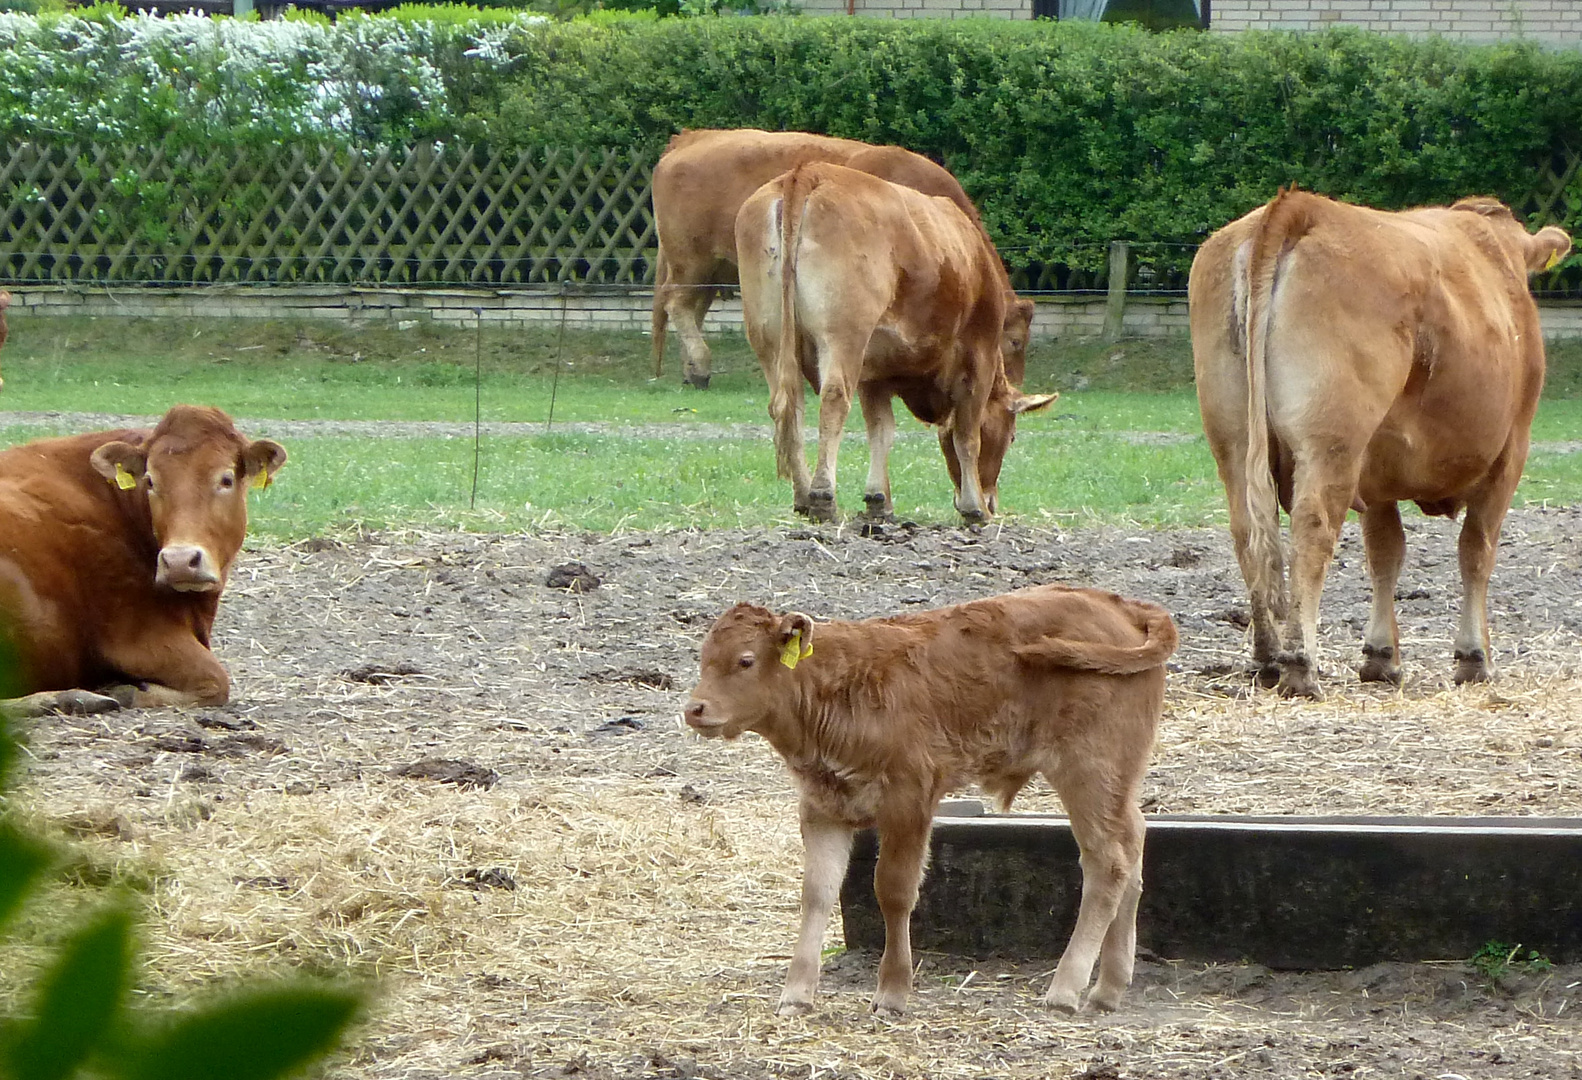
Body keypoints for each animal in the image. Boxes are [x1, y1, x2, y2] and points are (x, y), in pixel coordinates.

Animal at [0, 404, 287, 717]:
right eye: (150, 481)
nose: (179, 560)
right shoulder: (138, 635)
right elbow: (216, 681)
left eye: (226, 480)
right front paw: (124, 691)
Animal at [651, 128, 1037, 388]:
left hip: (710, 268)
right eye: (1015, 342)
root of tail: (691, 137)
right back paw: (700, 367)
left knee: (692, 309)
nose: (1015, 386)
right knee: (678, 304)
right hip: (692, 259)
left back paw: (690, 370)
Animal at [680, 581, 1177, 1012]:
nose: (695, 709)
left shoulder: (908, 800)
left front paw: (893, 991)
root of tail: (1118, 604)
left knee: (1107, 863)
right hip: (1117, 781)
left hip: (1088, 772)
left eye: (745, 661)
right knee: (1133, 845)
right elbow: (817, 893)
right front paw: (797, 995)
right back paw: (1108, 989)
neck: (838, 685)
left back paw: (1066, 988)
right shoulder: (822, 808)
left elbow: (894, 890)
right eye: (703, 659)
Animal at [734, 161, 1056, 528]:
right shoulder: (980, 356)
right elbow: (967, 435)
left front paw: (879, 500)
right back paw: (822, 496)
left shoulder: (875, 373)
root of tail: (809, 172)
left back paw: (803, 496)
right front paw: (974, 509)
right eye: (1012, 436)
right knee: (832, 401)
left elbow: (881, 431)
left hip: (768, 336)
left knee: (788, 407)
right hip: (843, 336)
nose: (992, 500)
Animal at [1189, 188, 1575, 695]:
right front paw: (1474, 659)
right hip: (1332, 442)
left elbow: (1385, 553)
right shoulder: (1509, 452)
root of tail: (1301, 205)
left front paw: (1380, 657)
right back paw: (1300, 665)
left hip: (1233, 439)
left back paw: (1268, 658)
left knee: (1249, 533)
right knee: (1313, 529)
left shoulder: (1376, 474)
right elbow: (1476, 550)